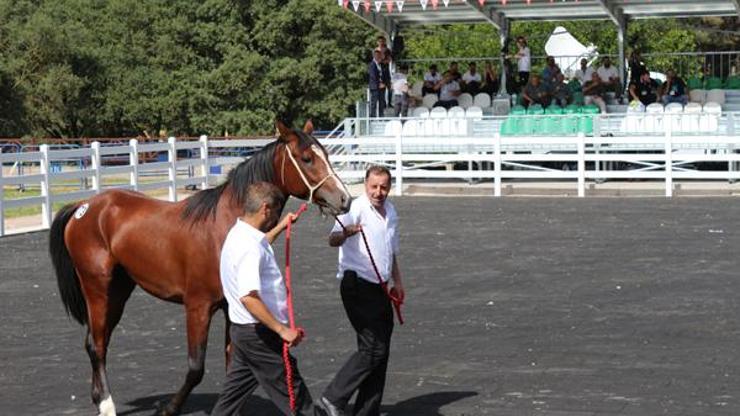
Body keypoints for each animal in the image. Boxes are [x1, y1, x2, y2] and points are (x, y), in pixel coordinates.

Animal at [47, 120, 352, 416]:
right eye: (306, 158)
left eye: (326, 155)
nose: (344, 199)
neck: (226, 225)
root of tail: (83, 206)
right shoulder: (198, 306)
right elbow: (196, 368)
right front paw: (169, 408)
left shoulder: (233, 308)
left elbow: (233, 363)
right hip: (98, 289)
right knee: (96, 345)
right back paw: (107, 405)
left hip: (119, 291)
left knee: (98, 341)